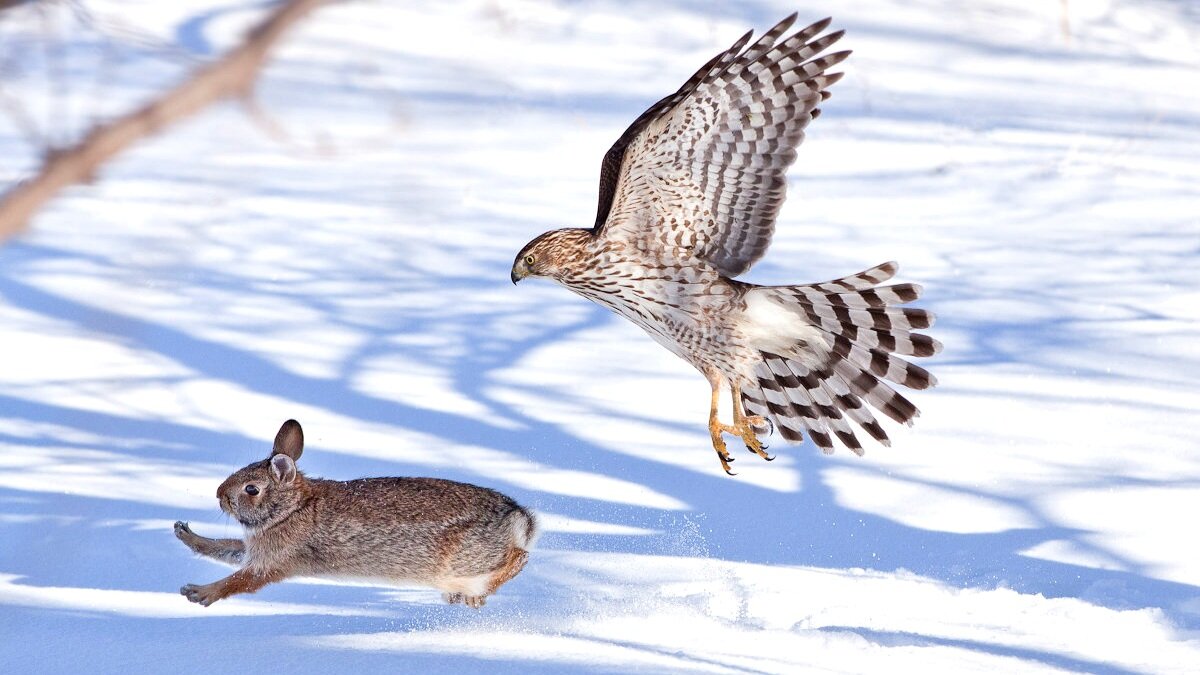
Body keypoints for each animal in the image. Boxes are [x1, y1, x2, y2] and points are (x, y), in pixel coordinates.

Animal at [175, 417, 537, 607]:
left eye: (251, 489)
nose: (220, 496)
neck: (293, 509)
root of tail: (520, 519)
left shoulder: (273, 561)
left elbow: (240, 580)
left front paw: (198, 593)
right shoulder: (255, 548)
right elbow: (225, 548)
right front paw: (184, 533)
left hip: (464, 559)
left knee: (519, 558)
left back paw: (475, 595)